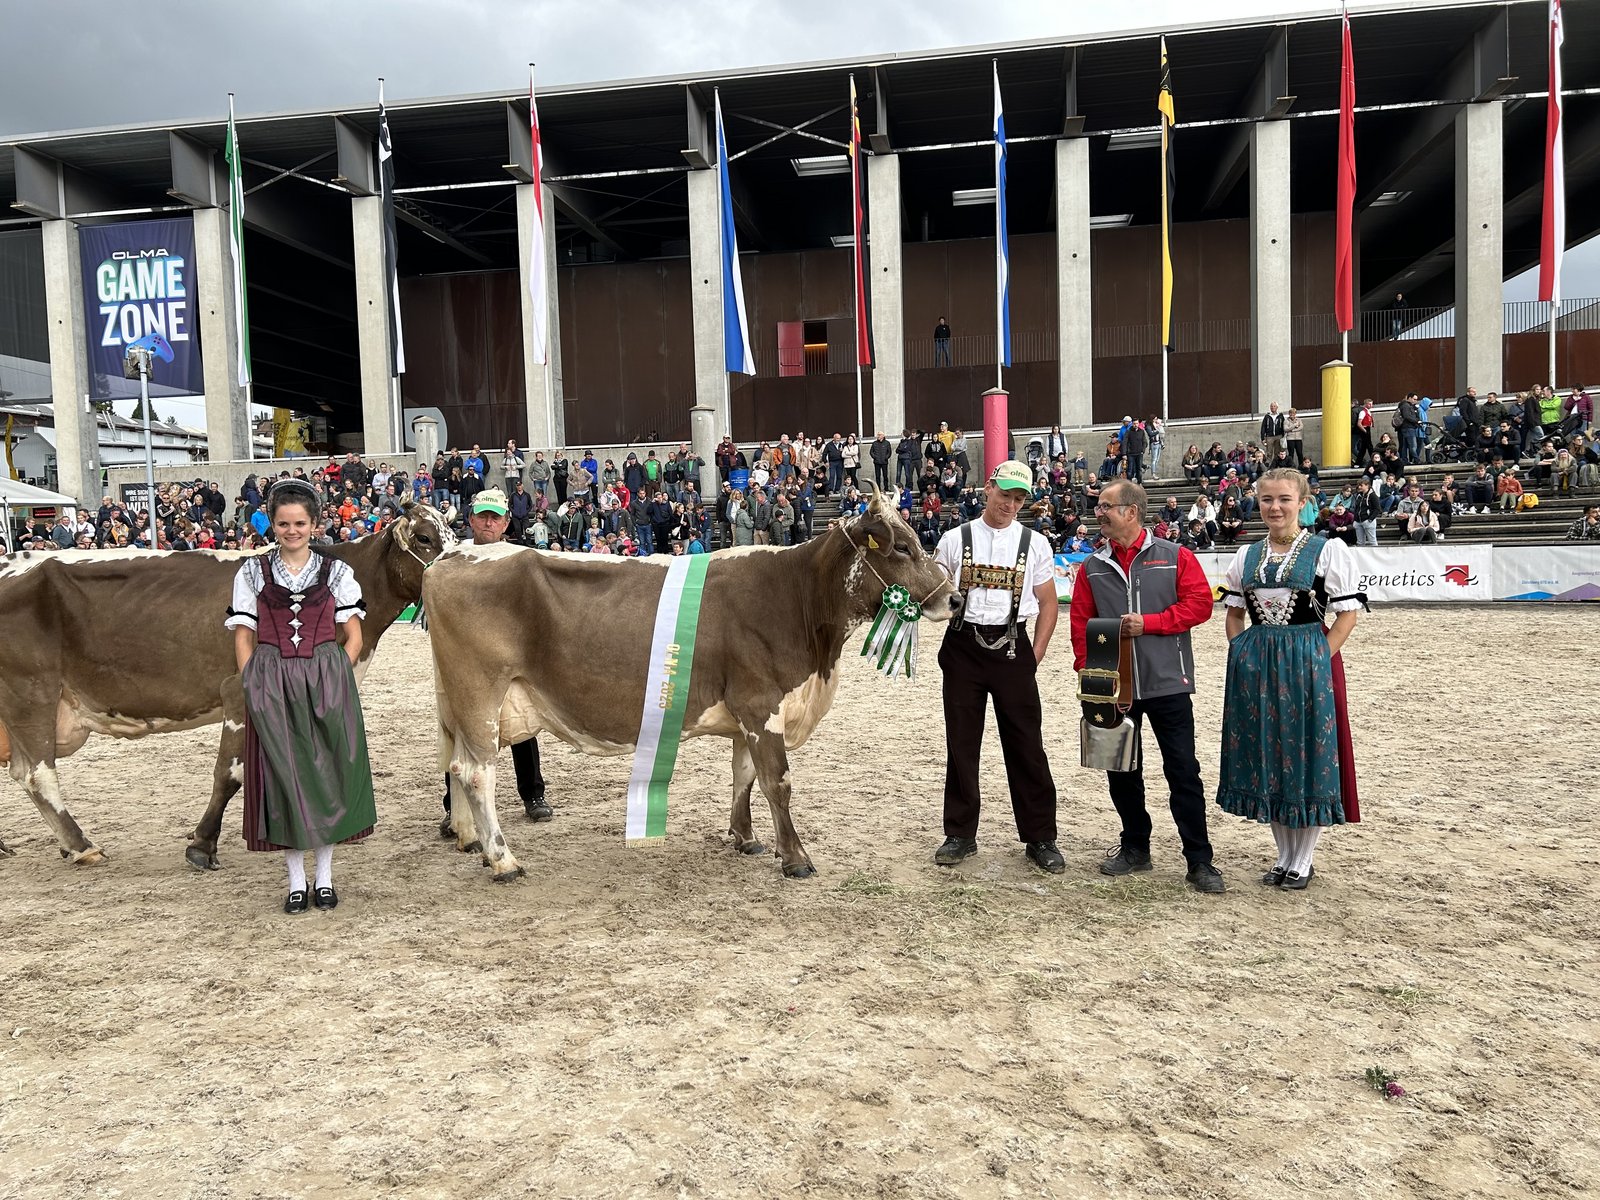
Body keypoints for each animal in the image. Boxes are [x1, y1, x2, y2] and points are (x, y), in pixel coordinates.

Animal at [0, 505, 454, 868]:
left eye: (452, 534)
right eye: (425, 538)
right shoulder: (239, 691)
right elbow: (230, 773)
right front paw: (203, 843)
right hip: (32, 693)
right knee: (37, 774)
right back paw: (81, 845)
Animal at [424, 490, 961, 882]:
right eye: (902, 547)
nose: (955, 599)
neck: (797, 597)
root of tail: (452, 556)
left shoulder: (747, 712)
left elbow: (744, 775)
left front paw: (746, 838)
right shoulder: (761, 703)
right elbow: (778, 782)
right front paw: (796, 858)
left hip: (456, 700)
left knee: (455, 763)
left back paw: (470, 840)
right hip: (481, 693)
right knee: (477, 773)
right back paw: (503, 860)